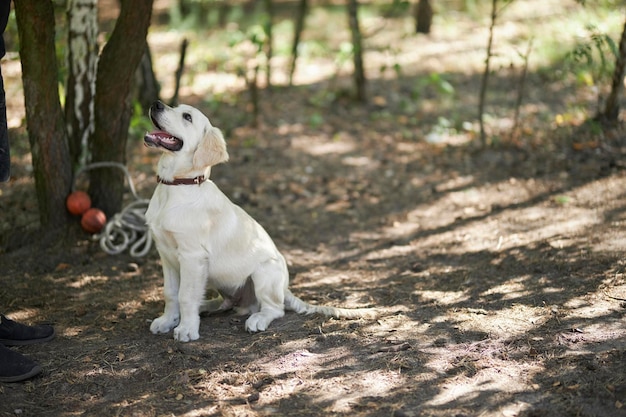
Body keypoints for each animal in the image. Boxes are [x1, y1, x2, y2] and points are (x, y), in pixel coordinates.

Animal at [144, 101, 372, 342]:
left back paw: (257, 319)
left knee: (274, 308)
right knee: (229, 303)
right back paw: (205, 306)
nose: (156, 104)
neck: (176, 186)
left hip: (264, 272)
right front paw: (168, 321)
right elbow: (171, 293)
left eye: (187, 117)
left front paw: (187, 328)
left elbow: (185, 295)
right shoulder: (166, 254)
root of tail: (284, 289)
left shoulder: (191, 256)